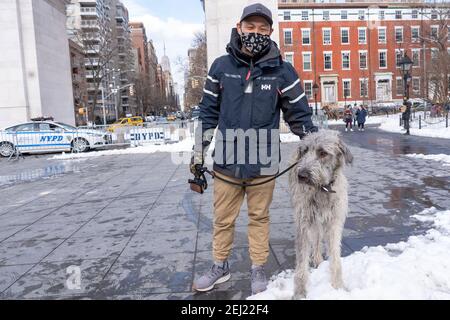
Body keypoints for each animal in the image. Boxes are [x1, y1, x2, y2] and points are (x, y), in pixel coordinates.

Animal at [288, 129, 356, 298]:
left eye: (323, 153)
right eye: (304, 151)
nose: (301, 175)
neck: (322, 189)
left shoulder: (334, 224)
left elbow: (335, 257)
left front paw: (338, 287)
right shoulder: (303, 223)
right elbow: (301, 263)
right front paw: (300, 293)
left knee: (318, 239)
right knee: (316, 239)